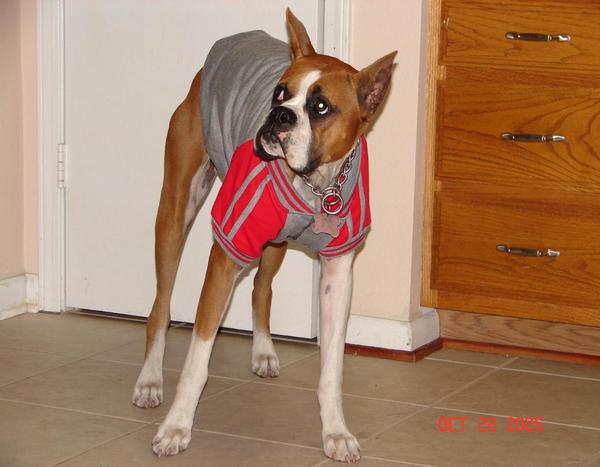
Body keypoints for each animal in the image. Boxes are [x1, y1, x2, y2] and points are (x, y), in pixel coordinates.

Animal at [131, 9, 396, 463]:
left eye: (321, 106)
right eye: (279, 93)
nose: (280, 117)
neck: (316, 185)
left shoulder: (337, 274)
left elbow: (331, 369)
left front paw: (335, 431)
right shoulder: (225, 255)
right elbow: (197, 360)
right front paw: (177, 427)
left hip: (274, 245)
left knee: (261, 289)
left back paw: (263, 349)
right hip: (174, 216)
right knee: (160, 308)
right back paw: (150, 380)